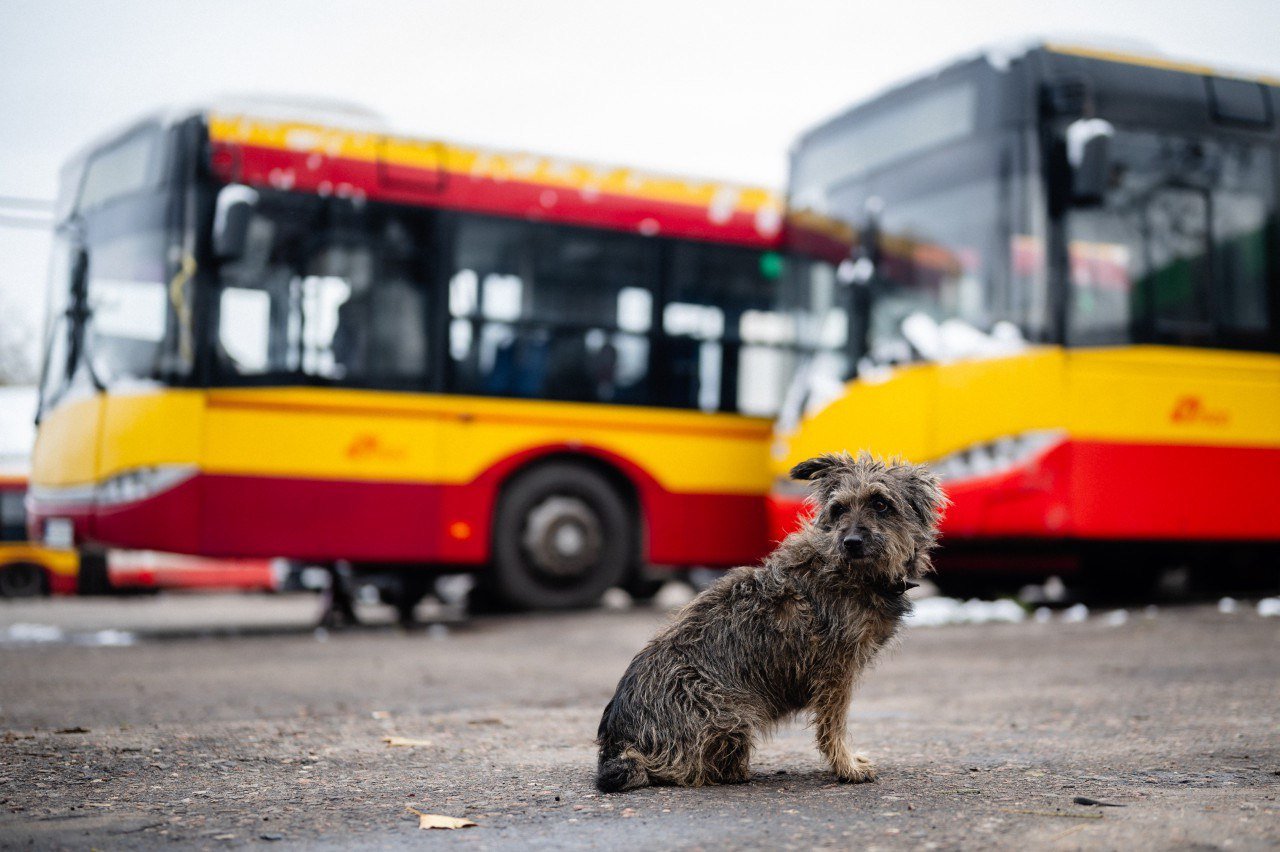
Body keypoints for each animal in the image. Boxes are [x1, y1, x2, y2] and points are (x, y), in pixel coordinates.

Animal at [593, 450, 947, 788]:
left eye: (881, 504)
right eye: (839, 509)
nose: (851, 542)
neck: (850, 572)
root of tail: (618, 744)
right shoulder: (835, 673)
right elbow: (833, 726)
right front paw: (846, 767)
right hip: (732, 709)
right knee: (685, 771)